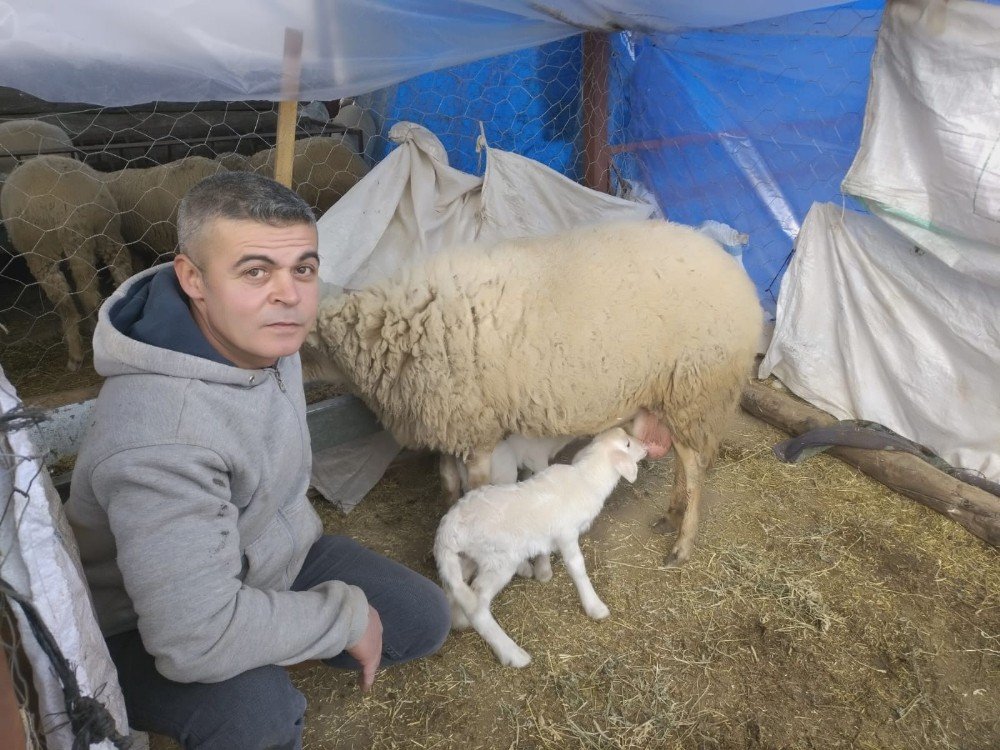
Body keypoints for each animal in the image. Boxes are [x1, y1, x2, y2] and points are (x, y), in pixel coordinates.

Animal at [0, 156, 132, 374]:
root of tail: (74, 198)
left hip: (47, 250)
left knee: (71, 303)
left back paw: (75, 355)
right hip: (106, 230)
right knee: (119, 272)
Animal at [308, 220, 760, 568]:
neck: (395, 325)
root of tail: (742, 284)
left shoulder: (477, 432)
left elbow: (472, 492)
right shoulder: (452, 424)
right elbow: (448, 486)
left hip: (696, 388)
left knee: (696, 467)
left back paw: (682, 543)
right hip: (672, 398)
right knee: (685, 461)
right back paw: (671, 514)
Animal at [434, 426, 644, 668]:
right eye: (628, 444)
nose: (647, 447)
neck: (586, 480)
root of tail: (446, 532)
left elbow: (544, 547)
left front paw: (543, 570)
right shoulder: (567, 533)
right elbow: (577, 567)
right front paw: (594, 606)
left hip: (466, 557)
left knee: (454, 589)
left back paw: (459, 619)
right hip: (499, 561)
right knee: (477, 607)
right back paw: (512, 653)